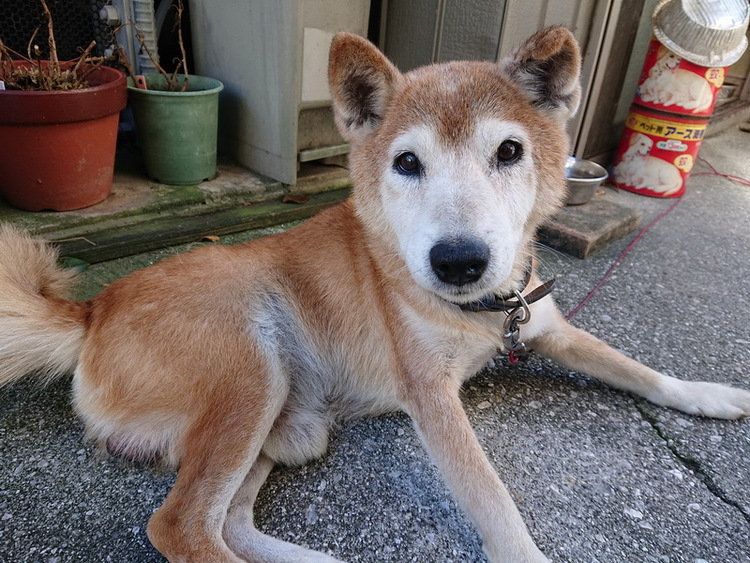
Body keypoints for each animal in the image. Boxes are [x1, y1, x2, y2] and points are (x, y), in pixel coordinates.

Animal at [1, 27, 748, 563]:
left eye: (509, 152)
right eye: (407, 163)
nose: (458, 260)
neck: (485, 315)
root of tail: (91, 310)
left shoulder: (548, 326)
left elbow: (640, 370)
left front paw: (709, 395)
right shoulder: (430, 395)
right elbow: (493, 499)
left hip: (284, 425)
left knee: (228, 521)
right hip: (250, 370)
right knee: (180, 526)